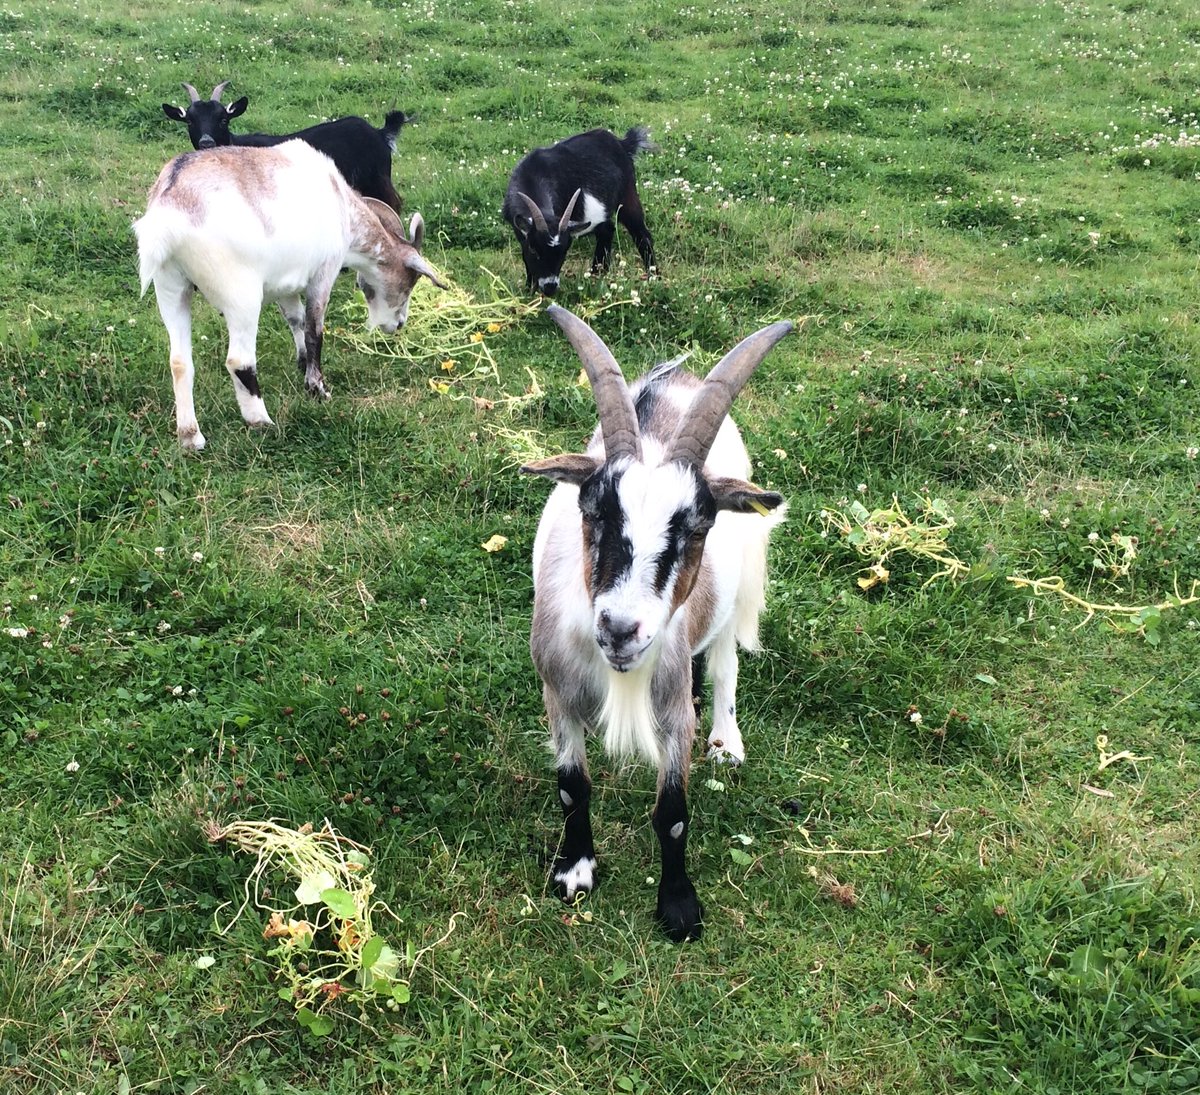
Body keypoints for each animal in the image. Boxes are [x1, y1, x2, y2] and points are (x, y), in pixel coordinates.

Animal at [134, 140, 446, 451]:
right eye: (410, 282)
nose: (398, 324)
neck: (343, 207)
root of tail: (170, 206)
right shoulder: (324, 272)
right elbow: (314, 329)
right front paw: (317, 387)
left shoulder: (284, 285)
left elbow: (295, 320)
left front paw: (301, 362)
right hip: (240, 294)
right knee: (239, 360)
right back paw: (261, 420)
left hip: (170, 286)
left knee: (179, 361)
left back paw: (190, 436)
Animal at [162, 81, 410, 213]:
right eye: (190, 121)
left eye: (223, 119)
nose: (206, 142)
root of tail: (379, 132)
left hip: (377, 179)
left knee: (394, 204)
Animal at [503, 128, 655, 296]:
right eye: (534, 249)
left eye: (564, 251)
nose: (550, 288)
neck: (533, 175)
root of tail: (621, 143)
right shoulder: (520, 232)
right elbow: (526, 258)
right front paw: (529, 289)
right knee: (608, 229)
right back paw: (598, 273)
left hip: (627, 195)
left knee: (642, 235)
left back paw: (652, 276)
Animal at [522, 306, 791, 941]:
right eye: (592, 510)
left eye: (697, 526)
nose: (621, 630)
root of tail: (675, 379)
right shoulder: (557, 691)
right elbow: (572, 787)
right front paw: (574, 871)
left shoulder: (669, 713)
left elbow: (671, 814)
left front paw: (679, 907)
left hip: (731, 603)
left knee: (723, 666)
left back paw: (725, 740)